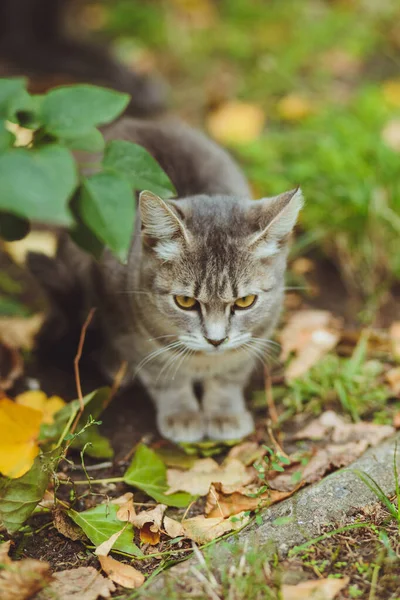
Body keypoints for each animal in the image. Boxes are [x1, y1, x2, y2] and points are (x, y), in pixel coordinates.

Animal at [30, 117, 304, 442]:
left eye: (245, 301)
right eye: (184, 301)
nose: (216, 340)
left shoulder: (255, 336)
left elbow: (229, 374)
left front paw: (224, 410)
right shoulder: (132, 330)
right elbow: (165, 375)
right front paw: (181, 413)